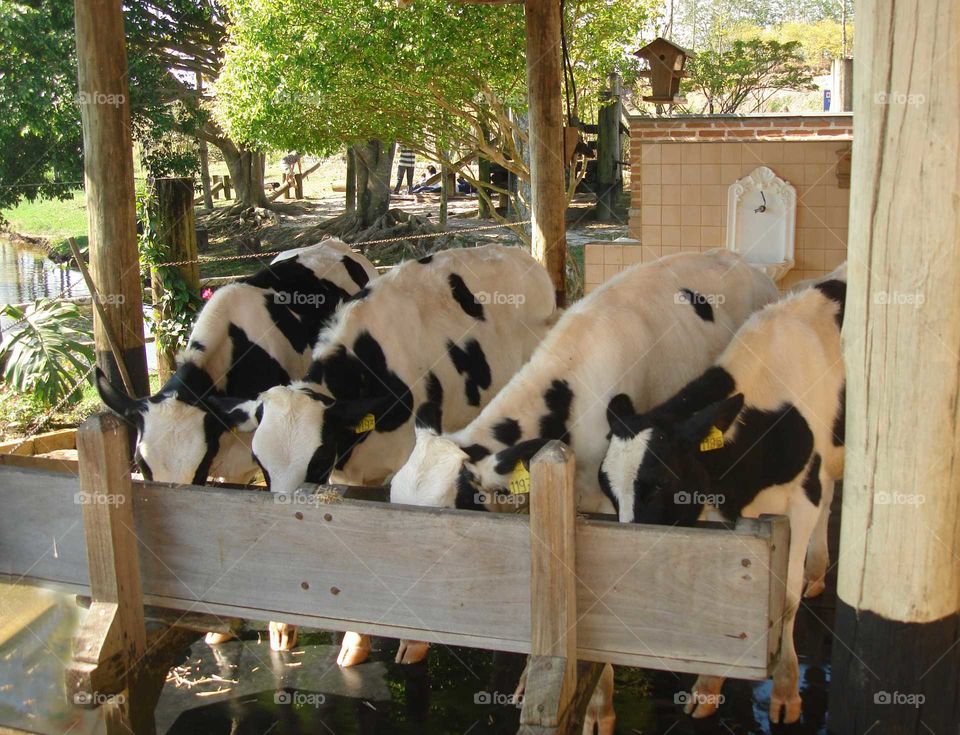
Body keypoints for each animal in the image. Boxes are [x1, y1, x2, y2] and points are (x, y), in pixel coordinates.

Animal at [222, 244, 558, 665]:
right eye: (262, 465)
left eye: (317, 461)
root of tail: (516, 252)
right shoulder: (345, 475)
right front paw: (312, 632)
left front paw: (410, 640)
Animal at [598, 272, 846, 725]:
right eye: (607, 488)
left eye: (660, 484)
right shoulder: (714, 499)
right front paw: (708, 688)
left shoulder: (802, 498)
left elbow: (786, 599)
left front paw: (786, 690)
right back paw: (819, 572)